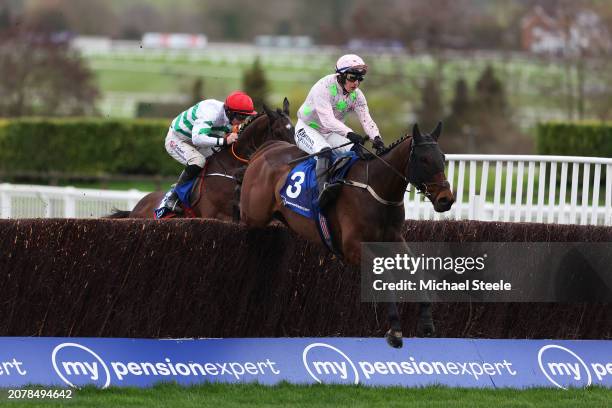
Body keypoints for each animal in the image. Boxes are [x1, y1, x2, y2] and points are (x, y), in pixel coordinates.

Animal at [109, 99, 296, 220]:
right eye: (278, 132)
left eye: (294, 130)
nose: (294, 156)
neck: (231, 169)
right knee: (195, 160)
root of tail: (135, 208)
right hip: (174, 143)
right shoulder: (215, 215)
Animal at [239, 122, 454, 348]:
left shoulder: (393, 238)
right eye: (424, 159)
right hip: (253, 216)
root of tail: (267, 149)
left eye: (443, 157)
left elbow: (416, 269)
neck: (377, 189)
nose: (446, 199)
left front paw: (427, 322)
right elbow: (386, 275)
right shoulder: (352, 248)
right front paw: (395, 330)